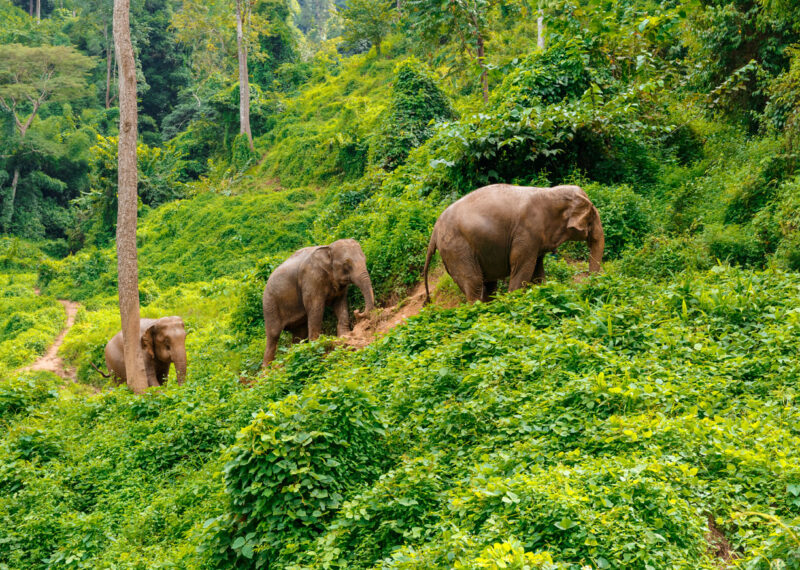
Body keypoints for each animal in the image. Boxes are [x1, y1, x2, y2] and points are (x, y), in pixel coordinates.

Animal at [423, 184, 605, 303]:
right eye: (592, 217)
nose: (588, 288)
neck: (550, 192)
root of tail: (434, 231)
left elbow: (537, 270)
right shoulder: (526, 233)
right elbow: (522, 266)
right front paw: (513, 301)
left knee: (487, 284)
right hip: (457, 248)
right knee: (474, 282)